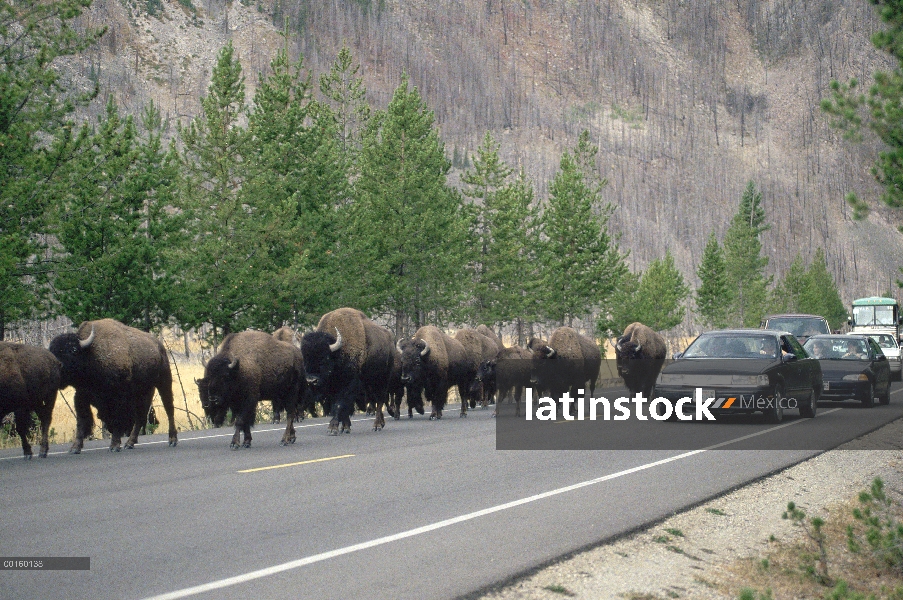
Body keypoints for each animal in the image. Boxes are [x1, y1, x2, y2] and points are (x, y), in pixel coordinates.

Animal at [48, 322, 179, 452]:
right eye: (52, 351)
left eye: (73, 350)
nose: (58, 366)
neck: (91, 353)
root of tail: (159, 346)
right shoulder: (81, 396)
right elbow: (82, 421)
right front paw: (75, 448)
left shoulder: (117, 398)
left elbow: (116, 419)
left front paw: (115, 445)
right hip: (145, 391)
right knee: (141, 416)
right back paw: (130, 443)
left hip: (163, 381)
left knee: (169, 409)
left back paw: (172, 440)